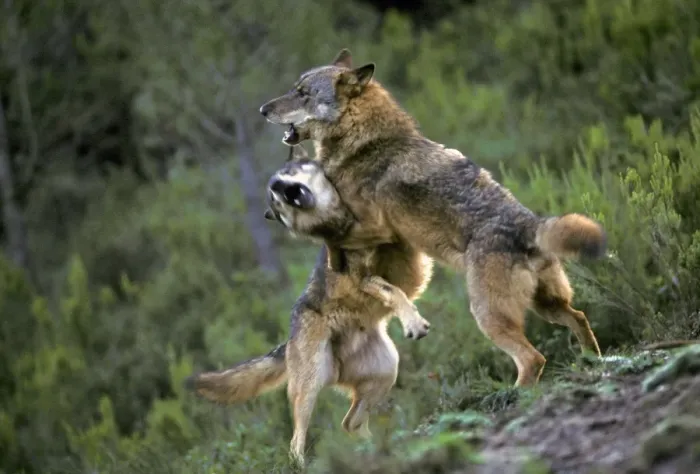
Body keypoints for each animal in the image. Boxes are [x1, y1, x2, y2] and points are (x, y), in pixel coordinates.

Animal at [186, 155, 433, 468]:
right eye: (276, 198)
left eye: (287, 174)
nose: (284, 189)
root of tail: (288, 340)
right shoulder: (365, 279)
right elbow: (394, 291)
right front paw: (414, 322)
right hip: (310, 388)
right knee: (296, 443)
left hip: (386, 371)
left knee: (349, 423)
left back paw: (381, 450)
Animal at [259, 48, 607, 388]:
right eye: (294, 88)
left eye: (302, 93)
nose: (262, 109)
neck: (363, 143)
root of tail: (531, 225)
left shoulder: (375, 227)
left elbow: (330, 237)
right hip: (546, 306)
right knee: (579, 317)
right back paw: (594, 364)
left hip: (488, 317)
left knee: (533, 359)